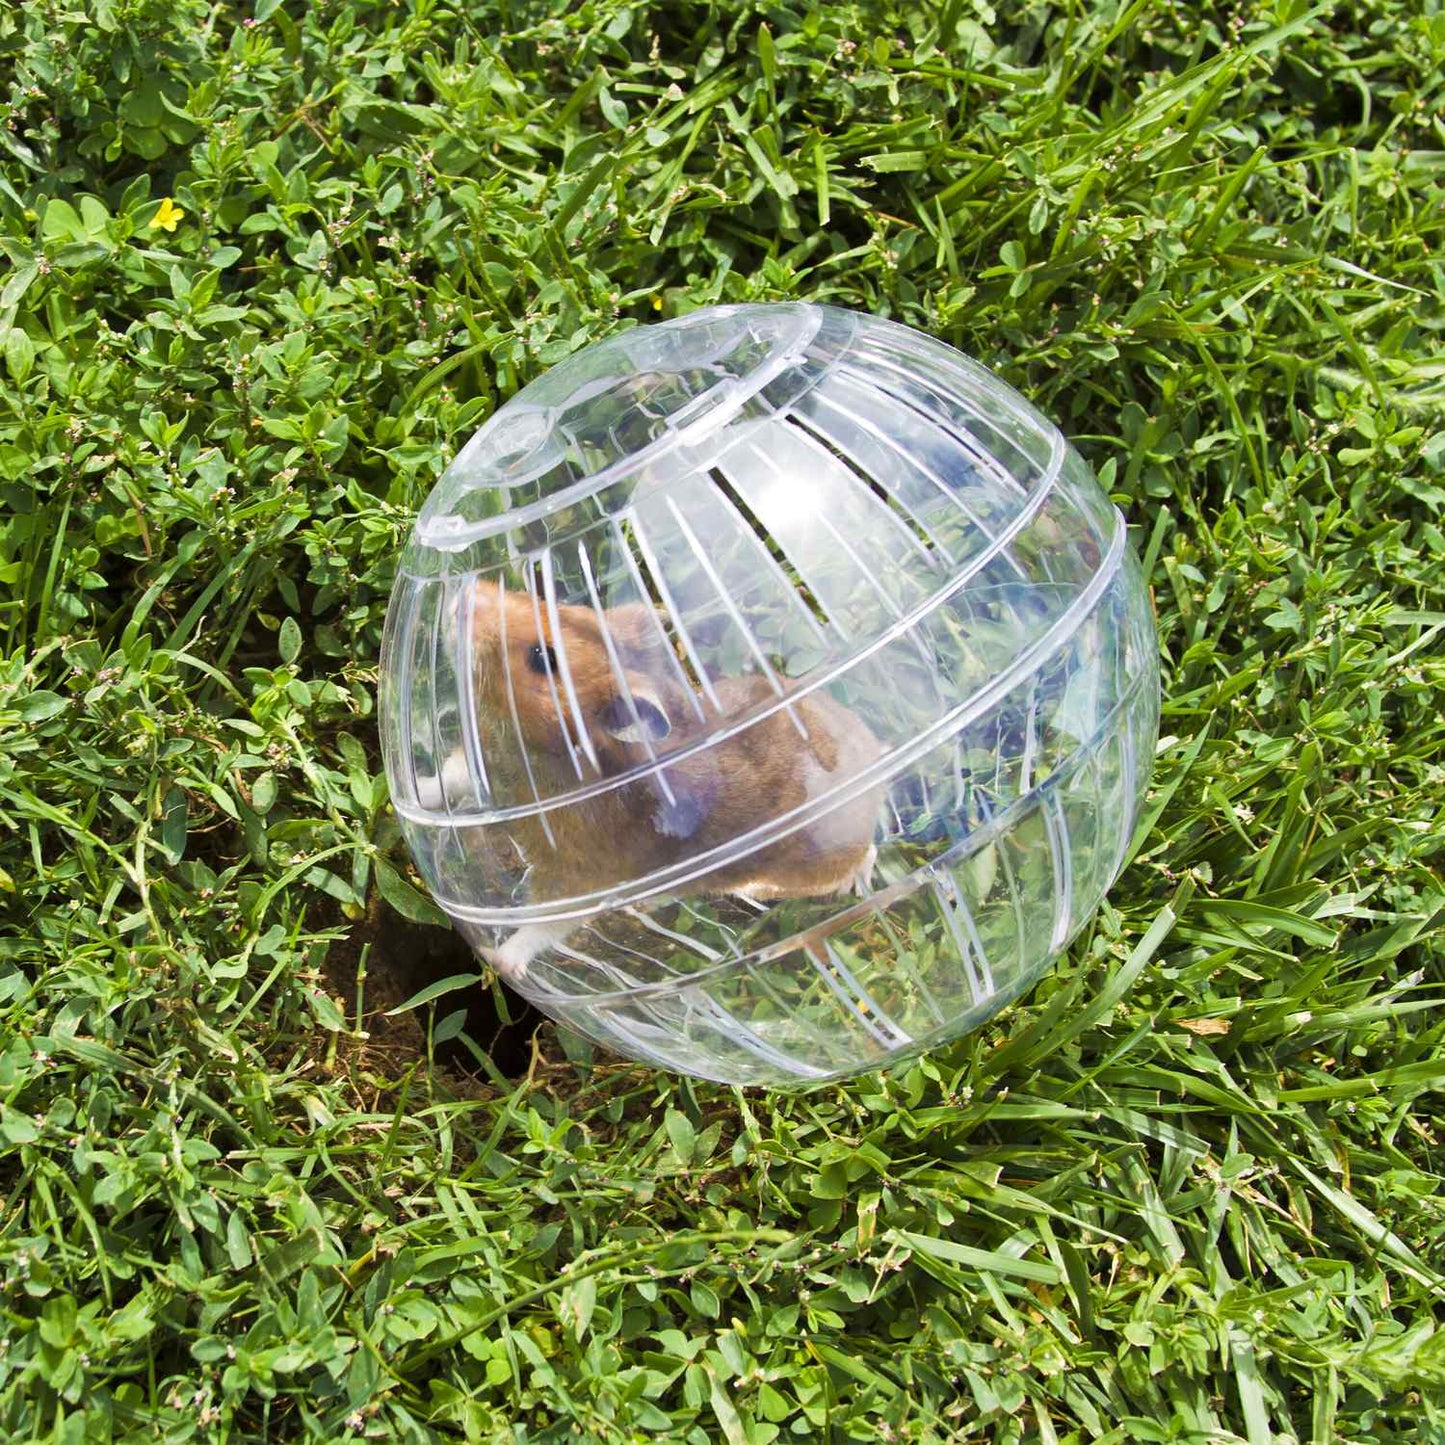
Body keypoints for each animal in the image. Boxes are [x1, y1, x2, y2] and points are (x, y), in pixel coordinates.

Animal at [467, 584, 884, 981]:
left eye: (542, 658)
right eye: (548, 601)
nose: (467, 595)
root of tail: (874, 748)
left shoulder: (583, 877)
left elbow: (543, 926)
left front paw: (498, 960)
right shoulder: (484, 758)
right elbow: (455, 776)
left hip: (792, 874)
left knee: (868, 853)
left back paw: (861, 885)